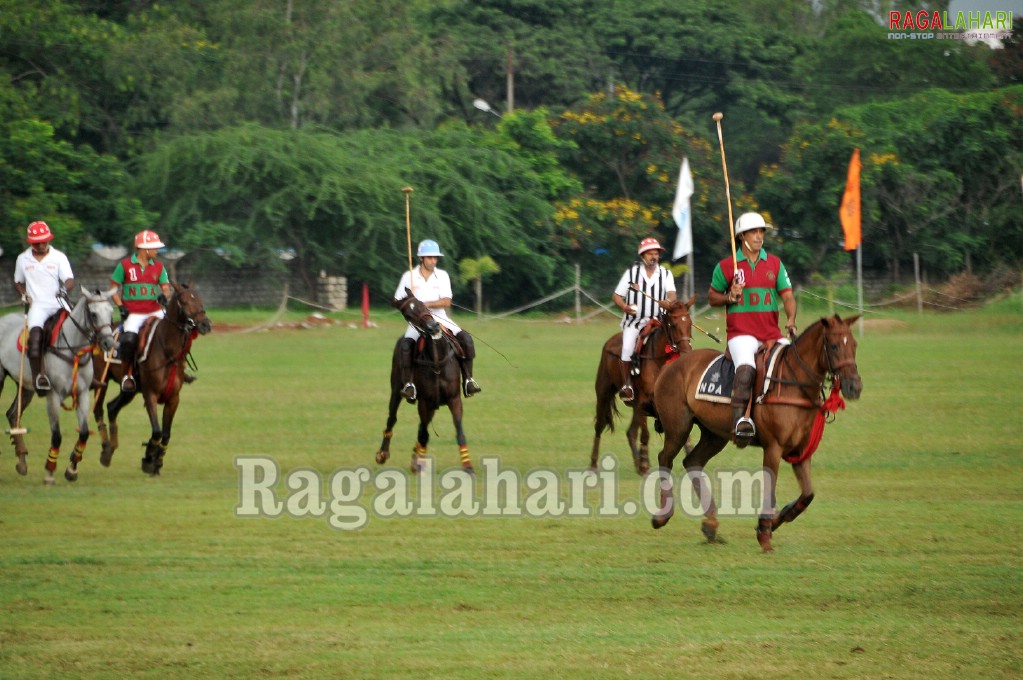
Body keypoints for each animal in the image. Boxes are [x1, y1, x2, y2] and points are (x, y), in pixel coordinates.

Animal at [0, 288, 116, 482]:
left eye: (111, 311)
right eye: (93, 314)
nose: (109, 343)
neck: (73, 351)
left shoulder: (83, 393)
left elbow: (84, 433)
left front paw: (72, 469)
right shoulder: (53, 395)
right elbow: (56, 436)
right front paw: (49, 472)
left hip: (25, 385)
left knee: (13, 414)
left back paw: (22, 461)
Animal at [92, 284, 211, 474]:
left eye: (199, 299)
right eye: (185, 302)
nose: (206, 324)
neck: (168, 351)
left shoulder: (173, 398)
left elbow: (166, 433)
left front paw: (157, 461)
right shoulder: (150, 395)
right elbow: (157, 431)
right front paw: (148, 458)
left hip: (130, 390)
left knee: (112, 407)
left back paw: (111, 449)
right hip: (100, 380)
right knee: (98, 410)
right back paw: (105, 449)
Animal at [374, 290, 472, 472]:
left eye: (423, 305)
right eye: (408, 315)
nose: (433, 327)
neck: (437, 359)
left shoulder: (454, 399)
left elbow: (459, 432)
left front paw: (468, 467)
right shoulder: (425, 401)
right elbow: (424, 433)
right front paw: (418, 463)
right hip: (397, 390)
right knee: (393, 418)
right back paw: (383, 454)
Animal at [593, 294, 695, 474]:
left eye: (689, 323)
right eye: (673, 324)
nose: (686, 352)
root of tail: (610, 341)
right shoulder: (643, 401)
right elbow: (646, 434)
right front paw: (645, 464)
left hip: (634, 405)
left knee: (631, 432)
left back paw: (637, 463)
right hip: (604, 391)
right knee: (599, 426)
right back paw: (593, 465)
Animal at [650, 314, 859, 548]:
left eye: (854, 345)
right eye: (833, 346)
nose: (854, 387)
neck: (794, 384)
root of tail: (671, 364)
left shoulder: (800, 451)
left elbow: (807, 494)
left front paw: (772, 522)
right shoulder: (773, 447)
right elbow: (770, 486)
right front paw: (764, 534)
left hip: (714, 435)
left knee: (692, 461)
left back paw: (710, 524)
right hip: (678, 427)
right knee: (665, 458)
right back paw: (662, 516)